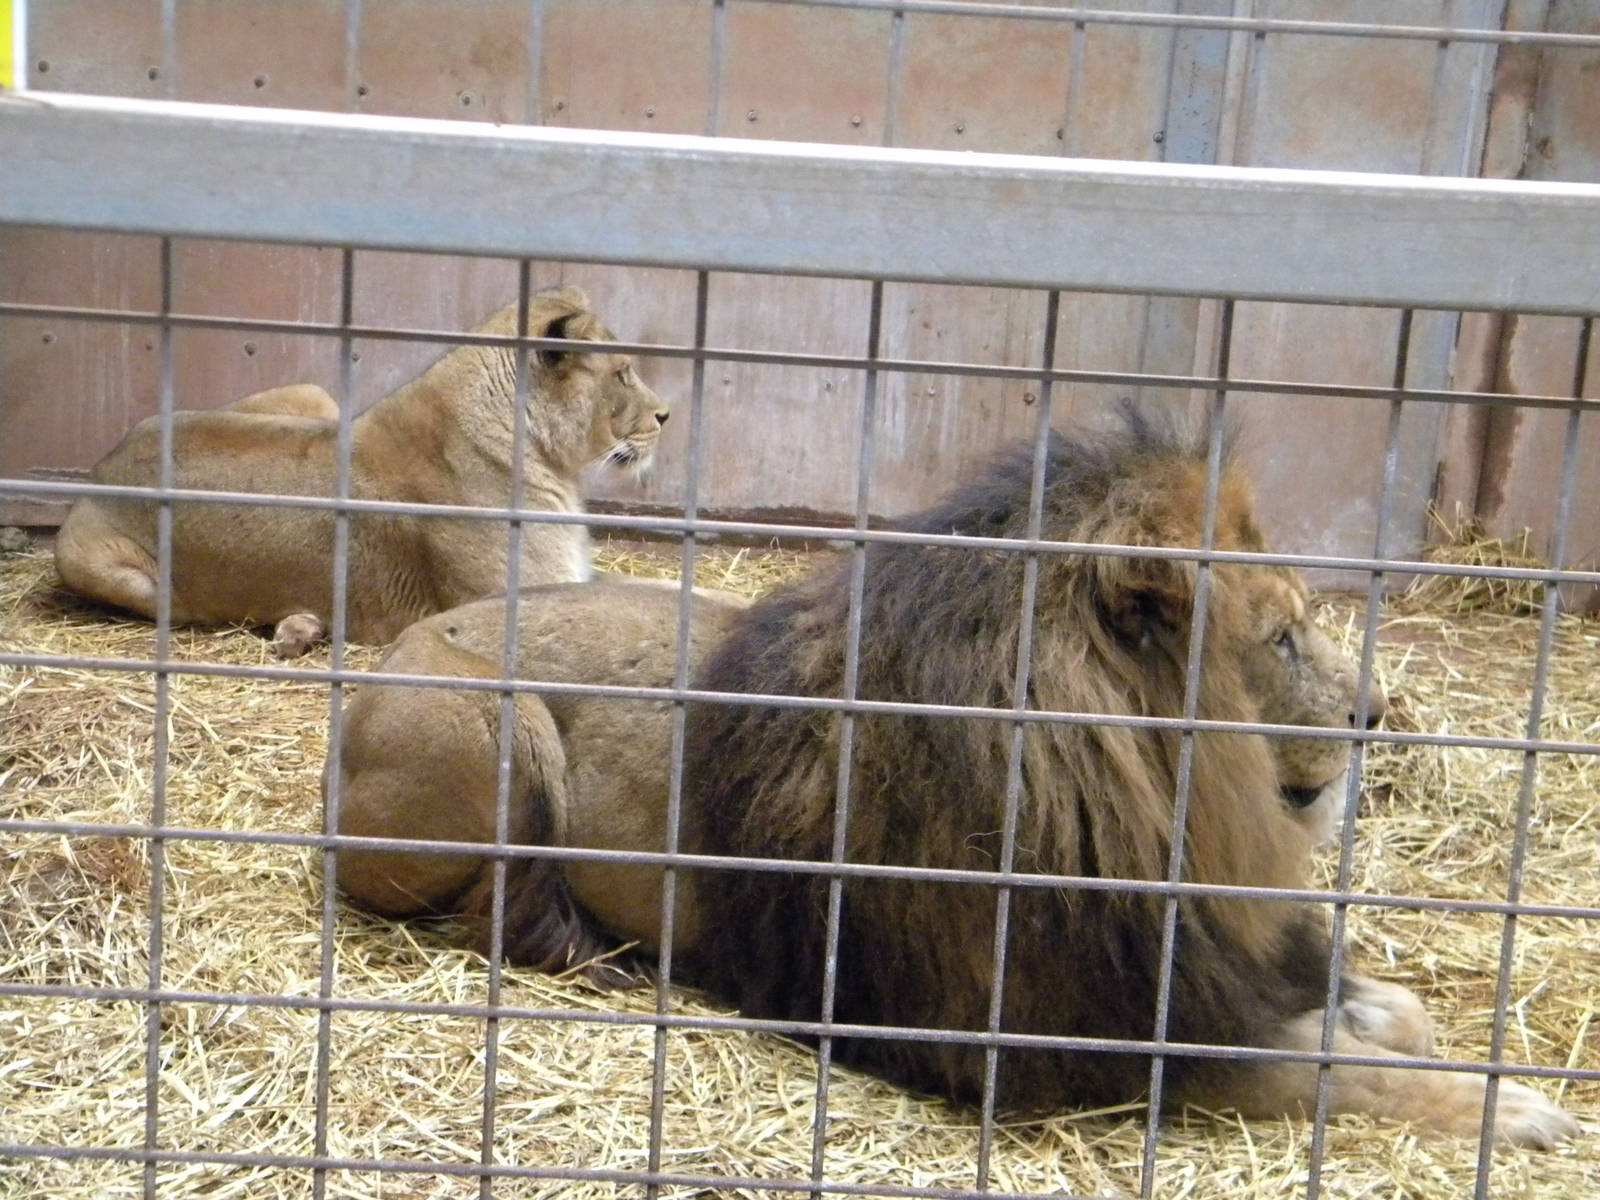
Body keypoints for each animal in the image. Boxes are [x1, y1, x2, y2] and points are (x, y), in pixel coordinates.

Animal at [54, 287, 669, 656]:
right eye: (623, 373)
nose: (666, 415)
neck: (548, 461)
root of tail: (103, 466)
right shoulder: (512, 600)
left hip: (312, 394)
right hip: (110, 569)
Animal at [328, 417, 1575, 1147]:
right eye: (1278, 640)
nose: (1373, 714)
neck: (1159, 812)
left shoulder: (1207, 960)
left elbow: (1380, 1011)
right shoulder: (1077, 1041)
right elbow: (1344, 1073)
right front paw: (1514, 1108)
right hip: (496, 723)